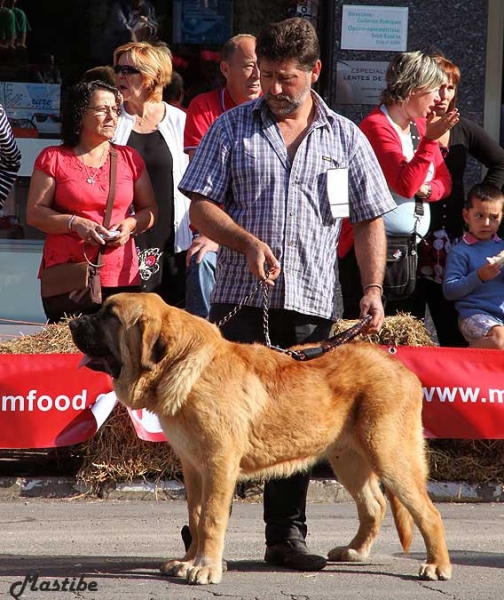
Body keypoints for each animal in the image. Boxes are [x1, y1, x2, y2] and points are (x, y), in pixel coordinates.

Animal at [68, 294, 452, 584]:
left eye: (110, 316)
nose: (72, 323)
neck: (183, 365)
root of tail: (401, 367)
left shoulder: (219, 464)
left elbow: (211, 519)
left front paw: (205, 568)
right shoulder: (193, 467)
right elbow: (195, 516)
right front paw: (189, 560)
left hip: (389, 453)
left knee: (428, 511)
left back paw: (437, 565)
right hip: (348, 458)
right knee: (374, 504)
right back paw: (354, 551)